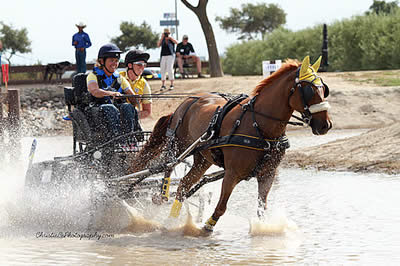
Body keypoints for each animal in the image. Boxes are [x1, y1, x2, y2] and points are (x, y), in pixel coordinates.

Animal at [130, 56, 332, 233]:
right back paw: (163, 197)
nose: (326, 125)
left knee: (183, 185)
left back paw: (171, 220)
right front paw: (207, 227)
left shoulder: (268, 174)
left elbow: (261, 208)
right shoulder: (232, 174)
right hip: (179, 147)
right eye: (310, 91)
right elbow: (221, 206)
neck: (259, 125)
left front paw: (264, 229)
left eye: (324, 89)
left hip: (202, 158)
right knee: (168, 166)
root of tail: (187, 101)